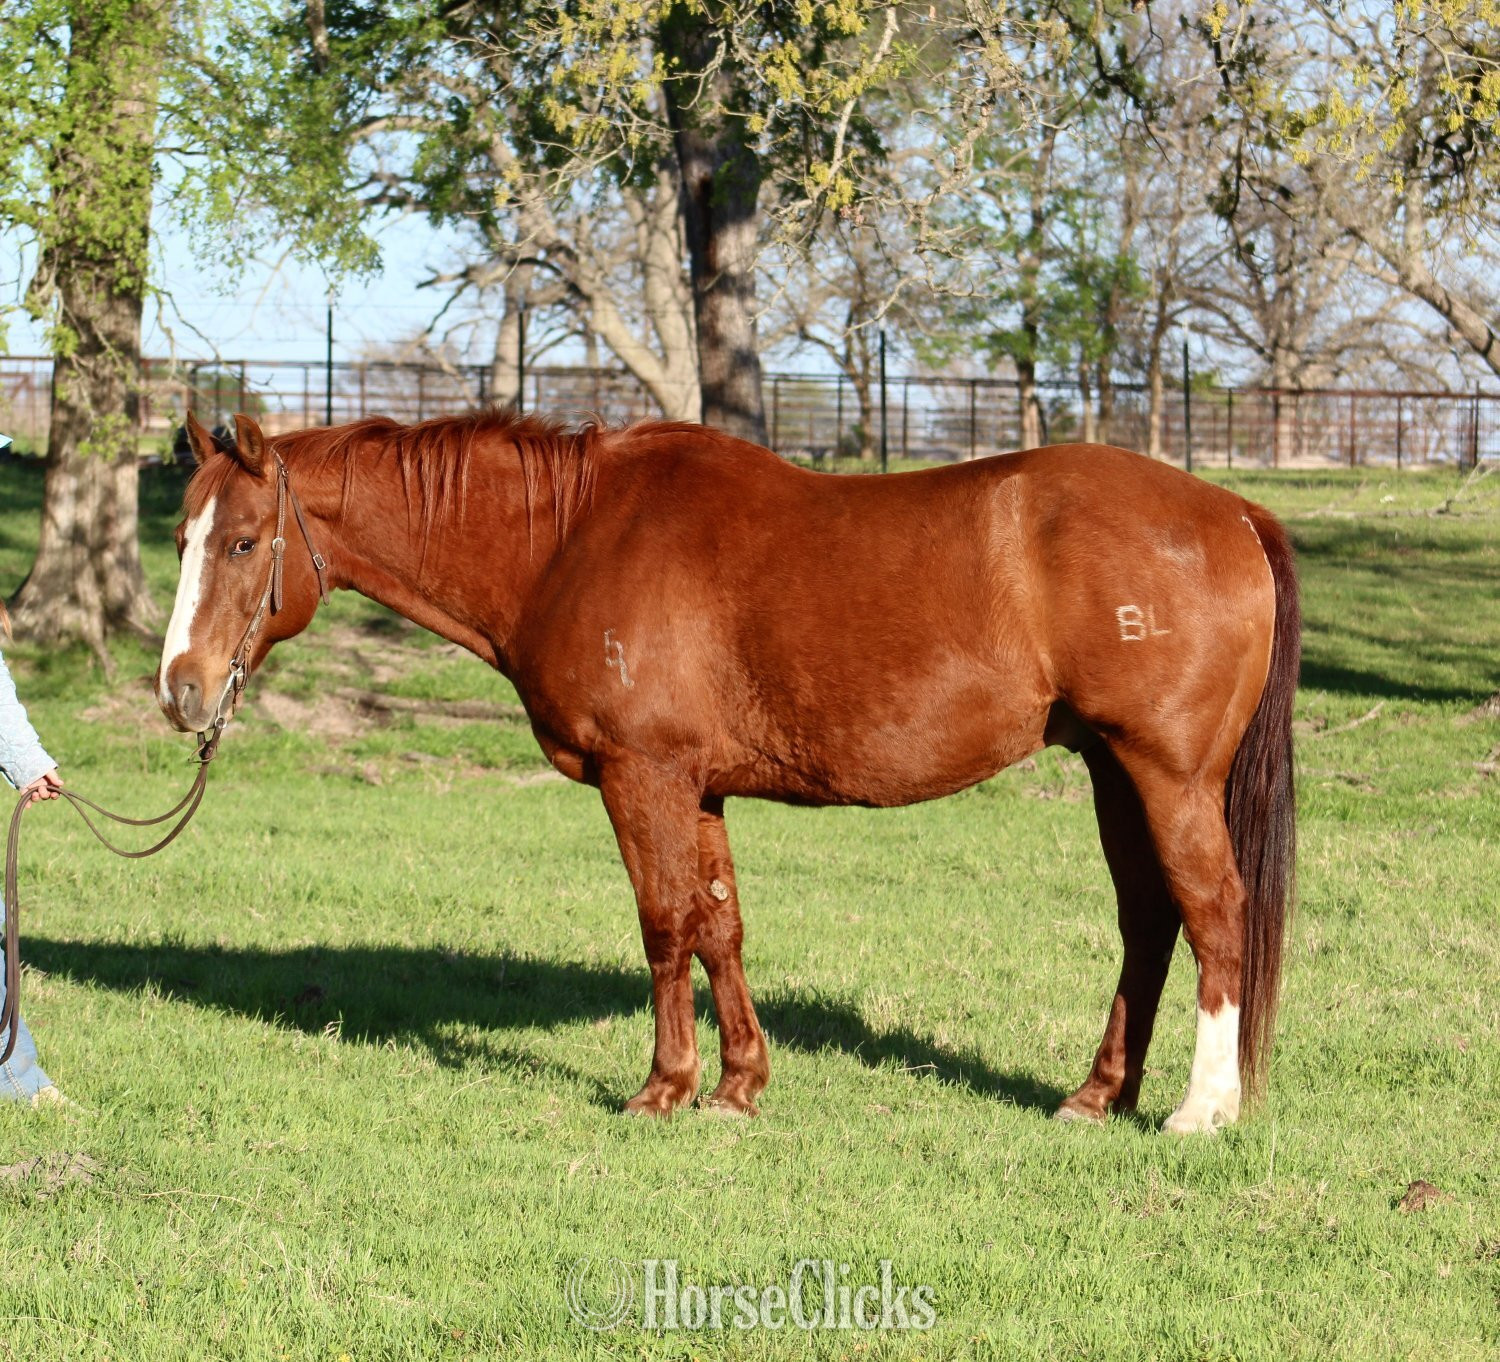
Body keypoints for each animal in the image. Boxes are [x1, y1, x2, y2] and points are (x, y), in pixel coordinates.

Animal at [156, 409, 1298, 1132]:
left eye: (245, 542)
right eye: (181, 537)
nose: (181, 690)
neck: (571, 536)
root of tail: (1232, 511)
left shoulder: (644, 777)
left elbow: (665, 925)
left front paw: (664, 1088)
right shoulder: (698, 787)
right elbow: (720, 926)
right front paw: (740, 1087)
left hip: (1166, 777)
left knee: (1215, 913)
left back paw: (1201, 1110)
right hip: (1113, 773)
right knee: (1150, 924)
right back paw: (1098, 1097)